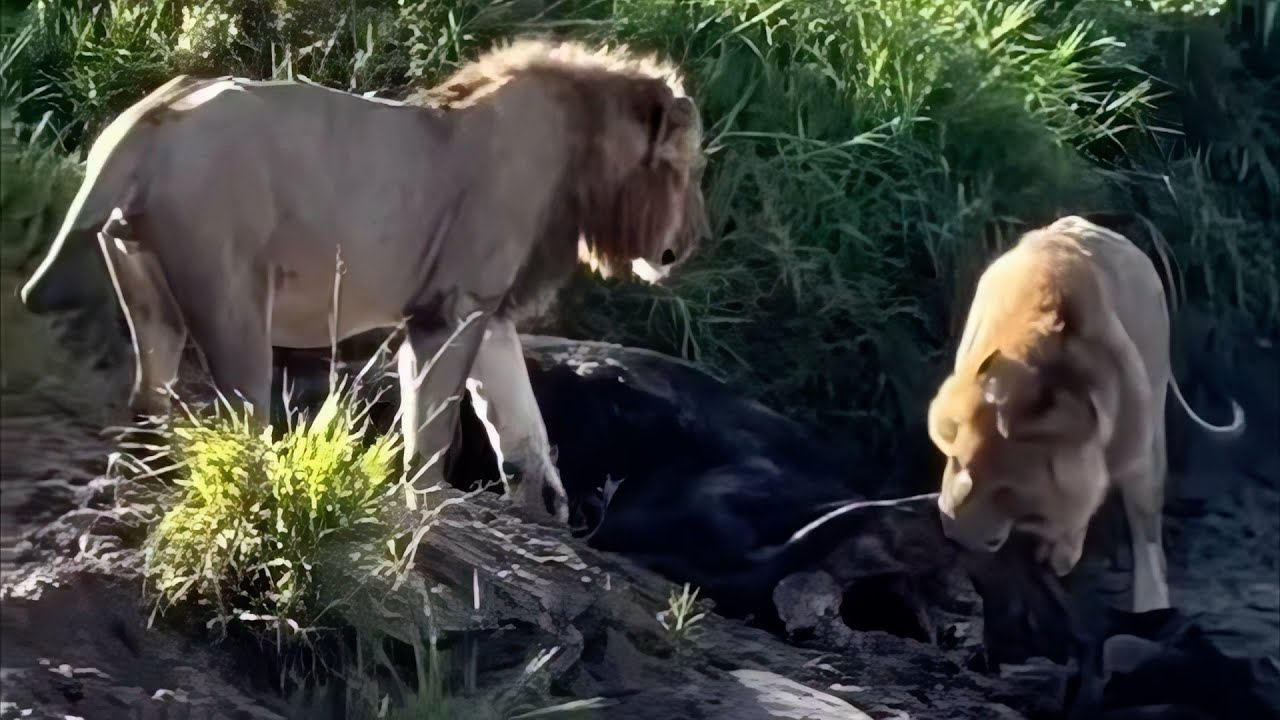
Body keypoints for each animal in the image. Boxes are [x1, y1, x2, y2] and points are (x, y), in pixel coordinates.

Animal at [18, 39, 710, 524]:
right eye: (688, 170)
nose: (688, 244)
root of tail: (149, 115)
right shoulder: (450, 309)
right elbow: (434, 430)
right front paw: (425, 511)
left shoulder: (485, 310)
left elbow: (519, 416)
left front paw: (543, 503)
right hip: (233, 296)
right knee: (243, 417)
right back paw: (260, 497)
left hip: (146, 289)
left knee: (148, 400)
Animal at [926, 215, 1246, 613]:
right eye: (956, 460)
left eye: (1008, 492)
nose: (955, 531)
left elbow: (1083, 506)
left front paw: (1060, 553)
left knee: (1149, 544)